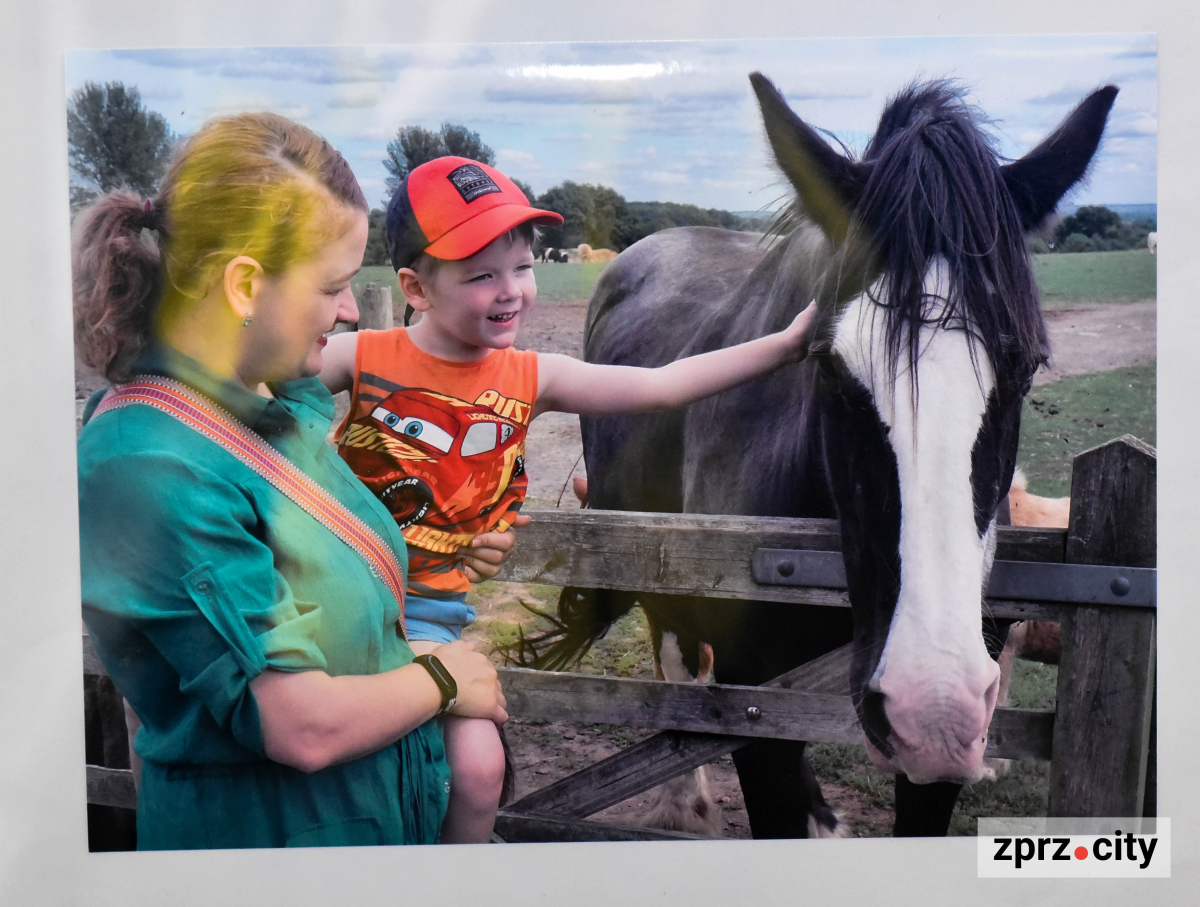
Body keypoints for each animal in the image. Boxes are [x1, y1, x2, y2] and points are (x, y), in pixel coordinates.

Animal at [525, 74, 1113, 839]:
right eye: (830, 366)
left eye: (1026, 366)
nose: (932, 705)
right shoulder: (757, 713)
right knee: (674, 654)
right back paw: (686, 806)